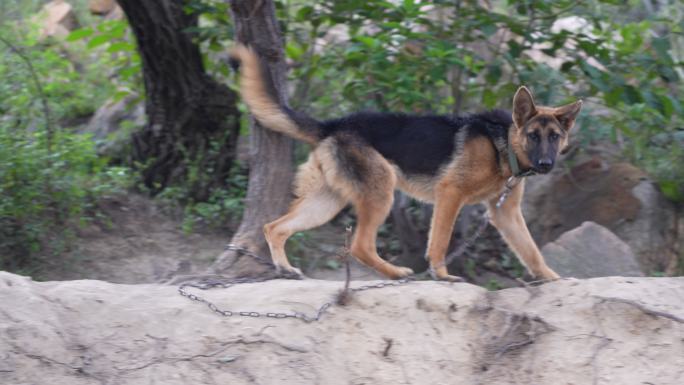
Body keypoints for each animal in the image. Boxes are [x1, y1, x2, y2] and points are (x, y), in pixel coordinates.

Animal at [230, 45, 584, 280]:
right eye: (533, 136)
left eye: (555, 137)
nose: (546, 164)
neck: (503, 143)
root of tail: (334, 125)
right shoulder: (450, 194)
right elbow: (439, 242)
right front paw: (442, 276)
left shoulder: (505, 214)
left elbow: (531, 251)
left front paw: (553, 278)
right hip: (381, 191)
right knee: (359, 246)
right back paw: (396, 272)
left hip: (327, 202)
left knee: (275, 227)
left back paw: (284, 267)